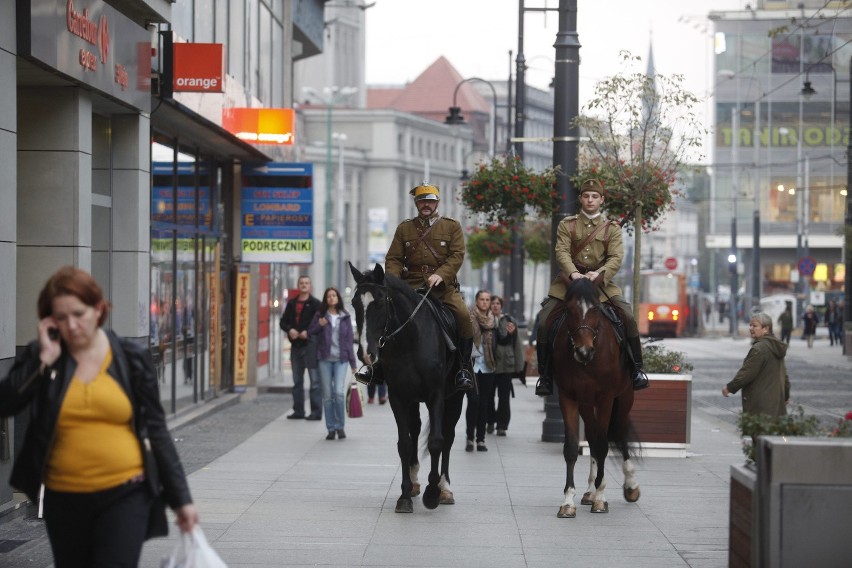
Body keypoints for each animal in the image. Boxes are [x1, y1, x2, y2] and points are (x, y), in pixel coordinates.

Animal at [348, 264, 466, 512]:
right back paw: (414, 483)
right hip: (413, 400)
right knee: (415, 429)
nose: (365, 352)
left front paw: (432, 494)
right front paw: (404, 495)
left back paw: (445, 488)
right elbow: (404, 443)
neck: (411, 340)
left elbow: (436, 441)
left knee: (448, 436)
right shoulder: (399, 397)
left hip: (455, 397)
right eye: (354, 303)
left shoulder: (436, 395)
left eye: (380, 301)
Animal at [544, 278, 640, 516]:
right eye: (569, 310)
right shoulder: (568, 397)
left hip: (624, 397)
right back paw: (590, 491)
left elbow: (604, 444)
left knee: (618, 433)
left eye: (596, 309)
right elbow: (572, 447)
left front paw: (601, 498)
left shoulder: (606, 398)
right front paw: (568, 501)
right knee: (593, 435)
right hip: (587, 404)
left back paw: (630, 485)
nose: (584, 351)